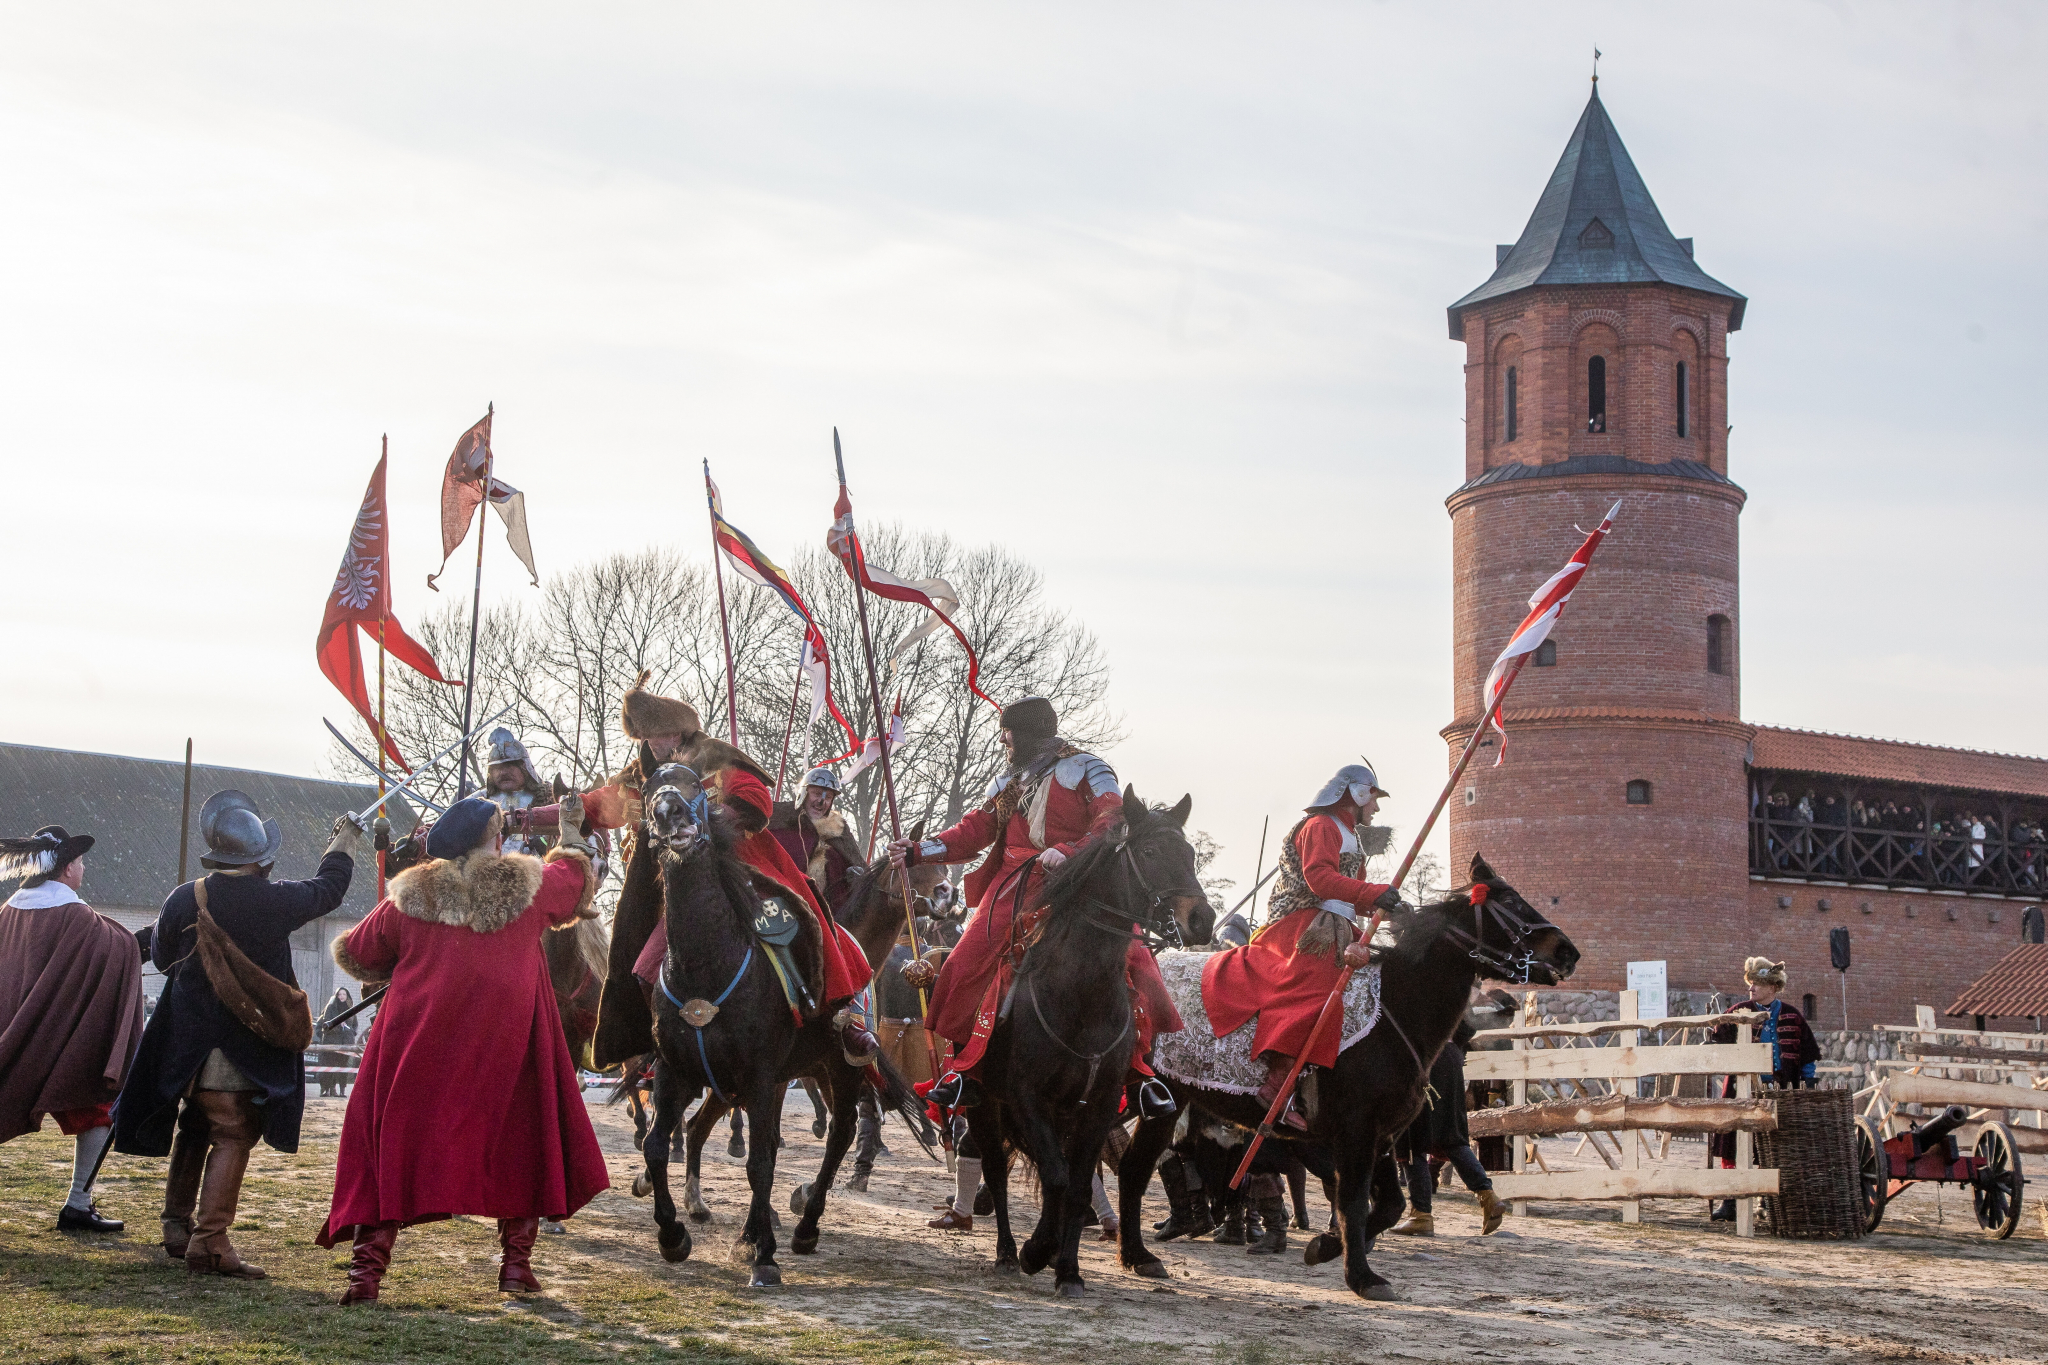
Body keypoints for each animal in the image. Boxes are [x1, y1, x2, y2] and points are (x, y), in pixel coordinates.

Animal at [634, 765, 925, 1285]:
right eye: (649, 789)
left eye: (695, 787)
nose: (669, 813)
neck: (707, 966)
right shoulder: (677, 1072)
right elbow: (656, 1146)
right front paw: (673, 1236)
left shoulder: (761, 1077)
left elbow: (762, 1163)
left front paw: (764, 1256)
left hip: (841, 1067)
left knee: (841, 1133)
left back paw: (805, 1227)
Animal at [966, 785, 1204, 1301]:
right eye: (1149, 851)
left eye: (1191, 855)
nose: (1202, 918)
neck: (1081, 993)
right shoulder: (1026, 1096)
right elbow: (1056, 1176)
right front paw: (1037, 1251)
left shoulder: (1097, 1104)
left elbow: (1075, 1187)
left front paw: (1067, 1269)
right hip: (985, 1103)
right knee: (996, 1169)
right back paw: (1008, 1253)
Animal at [1114, 855, 1572, 1301]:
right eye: (1510, 903)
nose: (1568, 952)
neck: (1394, 1012)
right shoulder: (1356, 1132)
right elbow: (1353, 1201)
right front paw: (1362, 1276)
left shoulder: (1380, 1137)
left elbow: (1386, 1205)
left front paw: (1327, 1247)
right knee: (1132, 1168)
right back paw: (1136, 1253)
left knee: (1132, 1168)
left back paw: (1136, 1255)